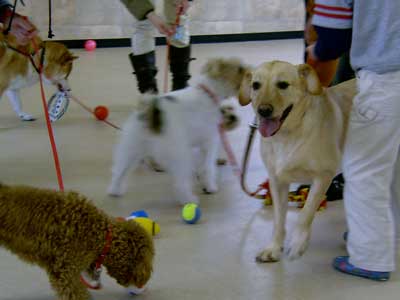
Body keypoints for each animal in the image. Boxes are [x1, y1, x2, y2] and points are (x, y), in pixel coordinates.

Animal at [108, 57, 248, 205]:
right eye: (239, 69)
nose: (251, 74)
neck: (208, 93)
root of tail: (151, 111)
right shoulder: (210, 141)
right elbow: (208, 167)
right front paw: (210, 187)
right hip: (179, 154)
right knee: (180, 182)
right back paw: (188, 199)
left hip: (133, 147)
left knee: (120, 170)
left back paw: (115, 190)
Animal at [239, 61, 354, 262]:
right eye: (256, 85)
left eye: (283, 85)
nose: (263, 110)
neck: (287, 135)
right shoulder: (277, 181)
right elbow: (278, 220)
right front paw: (274, 248)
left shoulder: (323, 176)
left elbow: (305, 213)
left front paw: (298, 242)